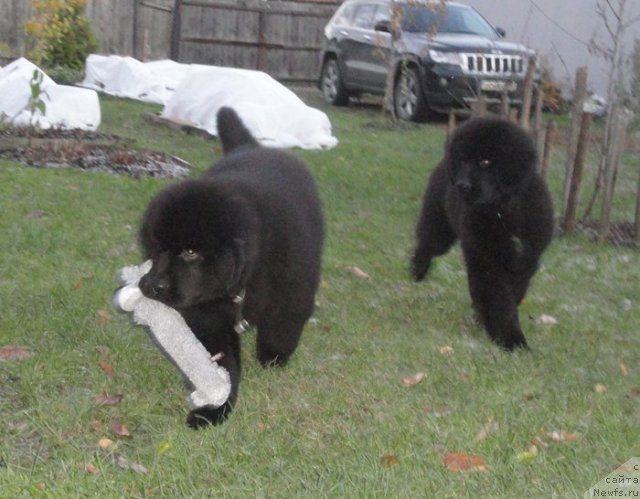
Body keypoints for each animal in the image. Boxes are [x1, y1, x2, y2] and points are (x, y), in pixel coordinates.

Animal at [138, 107, 322, 428]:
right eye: (156, 250)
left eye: (190, 252)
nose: (151, 286)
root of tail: (252, 147)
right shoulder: (209, 316)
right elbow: (219, 363)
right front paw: (214, 407)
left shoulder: (292, 292)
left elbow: (281, 328)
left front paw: (272, 357)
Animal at [410, 117, 556, 352]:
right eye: (463, 160)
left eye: (486, 162)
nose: (462, 186)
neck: (502, 211)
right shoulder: (488, 260)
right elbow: (500, 298)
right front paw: (511, 339)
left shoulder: (527, 259)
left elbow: (515, 292)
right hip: (440, 226)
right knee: (426, 243)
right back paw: (417, 271)